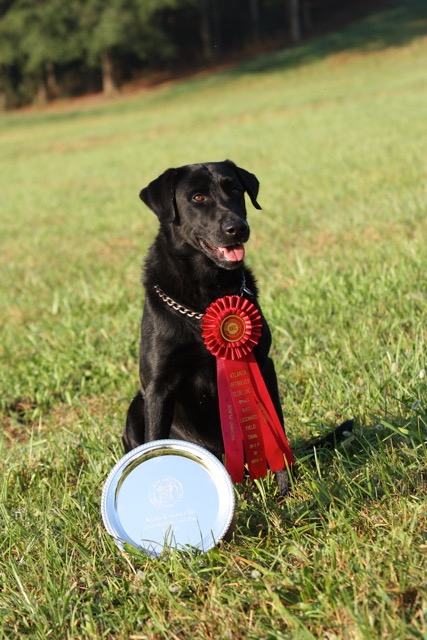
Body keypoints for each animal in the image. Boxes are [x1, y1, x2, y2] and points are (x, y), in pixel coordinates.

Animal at [122, 160, 352, 496]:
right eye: (198, 197)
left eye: (234, 189)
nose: (238, 228)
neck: (206, 296)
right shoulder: (158, 386)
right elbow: (157, 449)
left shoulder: (262, 365)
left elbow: (277, 431)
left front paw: (287, 493)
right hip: (135, 409)